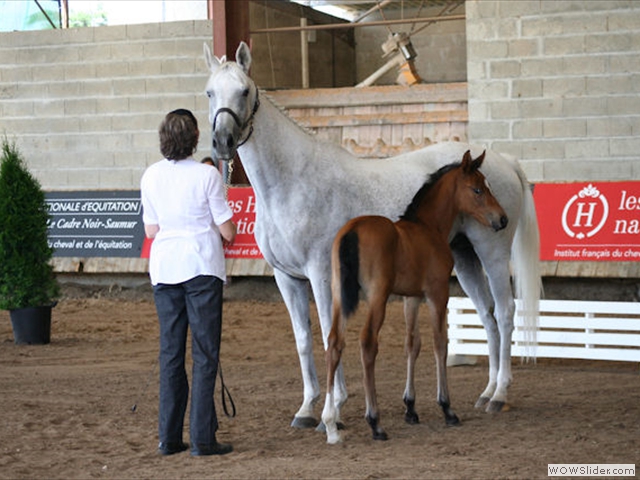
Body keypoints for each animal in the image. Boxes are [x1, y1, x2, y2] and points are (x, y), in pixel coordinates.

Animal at [204, 41, 540, 432]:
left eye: (244, 90)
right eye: (209, 92)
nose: (222, 141)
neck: (293, 182)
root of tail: (502, 161)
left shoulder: (321, 273)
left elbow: (328, 332)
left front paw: (333, 407)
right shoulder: (286, 277)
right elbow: (303, 340)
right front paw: (307, 408)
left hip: (492, 252)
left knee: (505, 311)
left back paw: (500, 394)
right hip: (464, 256)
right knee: (487, 315)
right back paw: (486, 392)